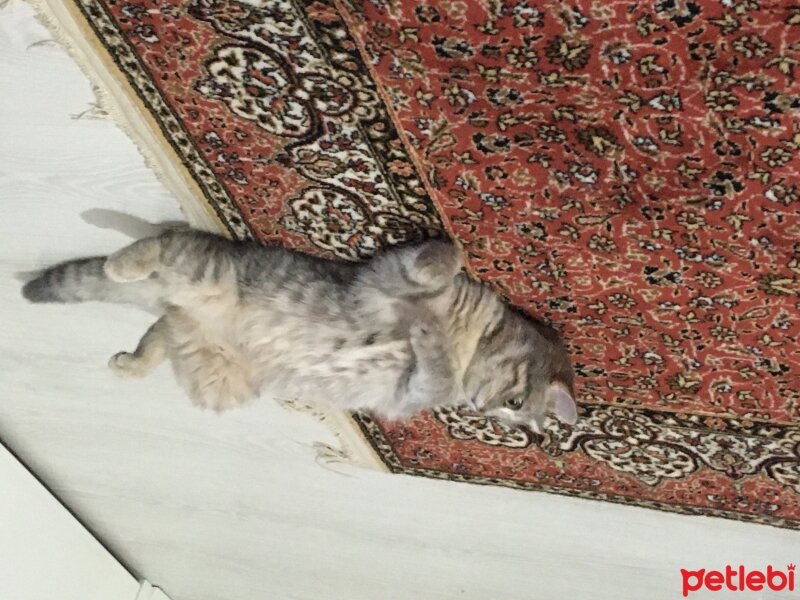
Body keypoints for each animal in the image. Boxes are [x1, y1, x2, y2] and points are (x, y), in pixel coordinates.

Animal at [21, 226, 580, 432]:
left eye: (509, 421)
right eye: (514, 405)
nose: (481, 411)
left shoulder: (408, 390)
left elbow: (432, 368)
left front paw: (428, 339)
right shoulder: (388, 275)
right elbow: (448, 254)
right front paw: (431, 315)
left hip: (217, 372)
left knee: (162, 324)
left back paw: (131, 363)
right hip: (206, 273)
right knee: (166, 239)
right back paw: (121, 264)